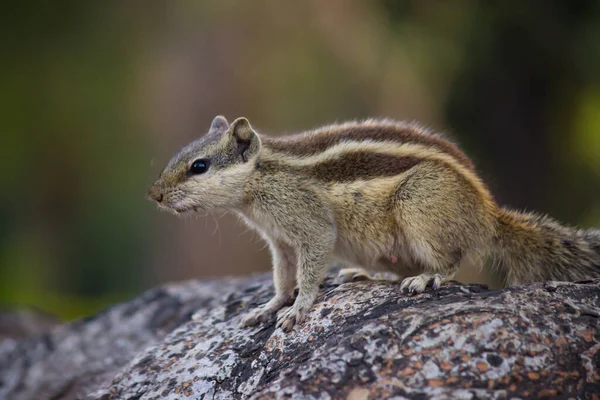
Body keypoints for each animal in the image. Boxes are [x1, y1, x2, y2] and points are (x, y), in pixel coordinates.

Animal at [146, 115, 600, 332]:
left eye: (199, 166)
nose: (154, 195)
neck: (260, 178)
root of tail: (488, 214)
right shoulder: (279, 242)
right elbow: (281, 277)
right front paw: (270, 306)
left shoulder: (307, 222)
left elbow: (309, 269)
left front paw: (299, 308)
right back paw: (362, 275)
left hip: (420, 205)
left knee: (453, 260)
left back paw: (427, 278)